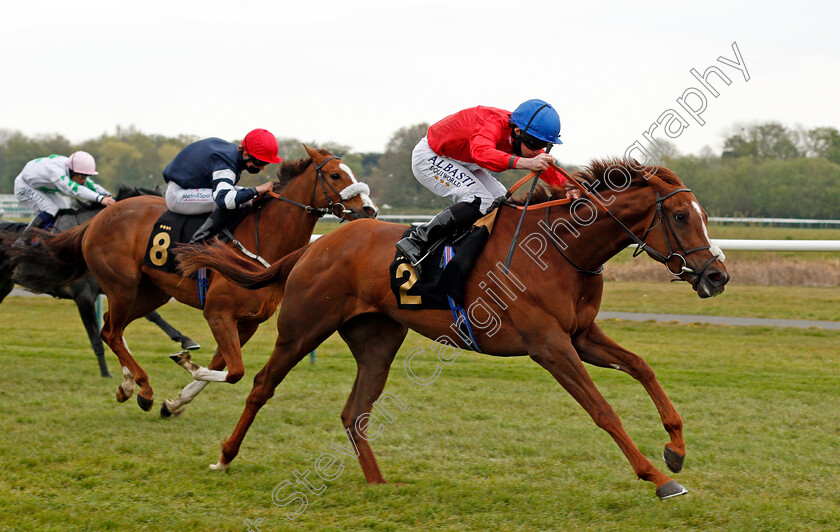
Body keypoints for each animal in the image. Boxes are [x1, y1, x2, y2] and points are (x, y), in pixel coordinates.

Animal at [9, 147, 378, 416]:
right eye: (335, 174)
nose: (370, 211)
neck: (264, 240)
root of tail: (99, 217)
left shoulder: (248, 322)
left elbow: (221, 365)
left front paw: (174, 402)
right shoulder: (217, 311)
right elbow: (234, 371)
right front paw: (183, 370)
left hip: (150, 292)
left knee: (111, 328)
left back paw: (128, 386)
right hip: (122, 285)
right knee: (112, 332)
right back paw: (143, 388)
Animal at [179, 157, 728, 498]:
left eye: (704, 213)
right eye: (681, 216)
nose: (717, 275)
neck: (560, 249)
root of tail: (315, 246)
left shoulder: (580, 335)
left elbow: (642, 367)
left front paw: (675, 449)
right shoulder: (550, 346)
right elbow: (603, 410)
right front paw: (656, 476)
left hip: (378, 340)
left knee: (354, 412)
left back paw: (378, 484)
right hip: (302, 328)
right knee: (260, 385)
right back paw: (223, 453)